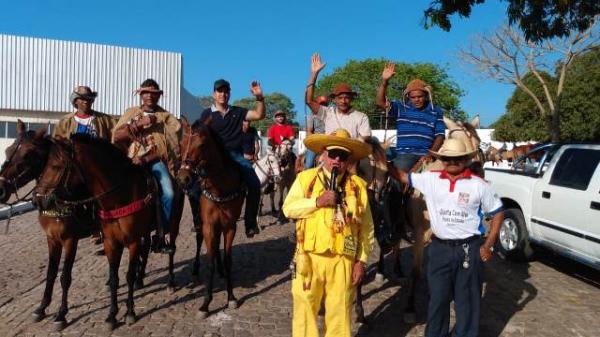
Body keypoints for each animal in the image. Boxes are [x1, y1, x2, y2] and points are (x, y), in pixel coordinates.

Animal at [32, 133, 183, 330]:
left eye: (56, 166)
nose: (38, 200)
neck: (118, 197)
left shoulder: (130, 241)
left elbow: (127, 275)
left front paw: (130, 312)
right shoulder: (109, 242)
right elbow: (113, 278)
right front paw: (112, 315)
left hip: (173, 226)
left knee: (171, 250)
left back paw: (171, 282)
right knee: (146, 249)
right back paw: (141, 279)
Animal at [176, 118, 244, 318]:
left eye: (202, 144)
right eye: (181, 143)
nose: (183, 178)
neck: (220, 187)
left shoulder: (230, 225)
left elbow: (228, 260)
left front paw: (231, 297)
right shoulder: (208, 226)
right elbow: (210, 260)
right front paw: (205, 304)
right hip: (199, 218)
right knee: (199, 239)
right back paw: (195, 270)